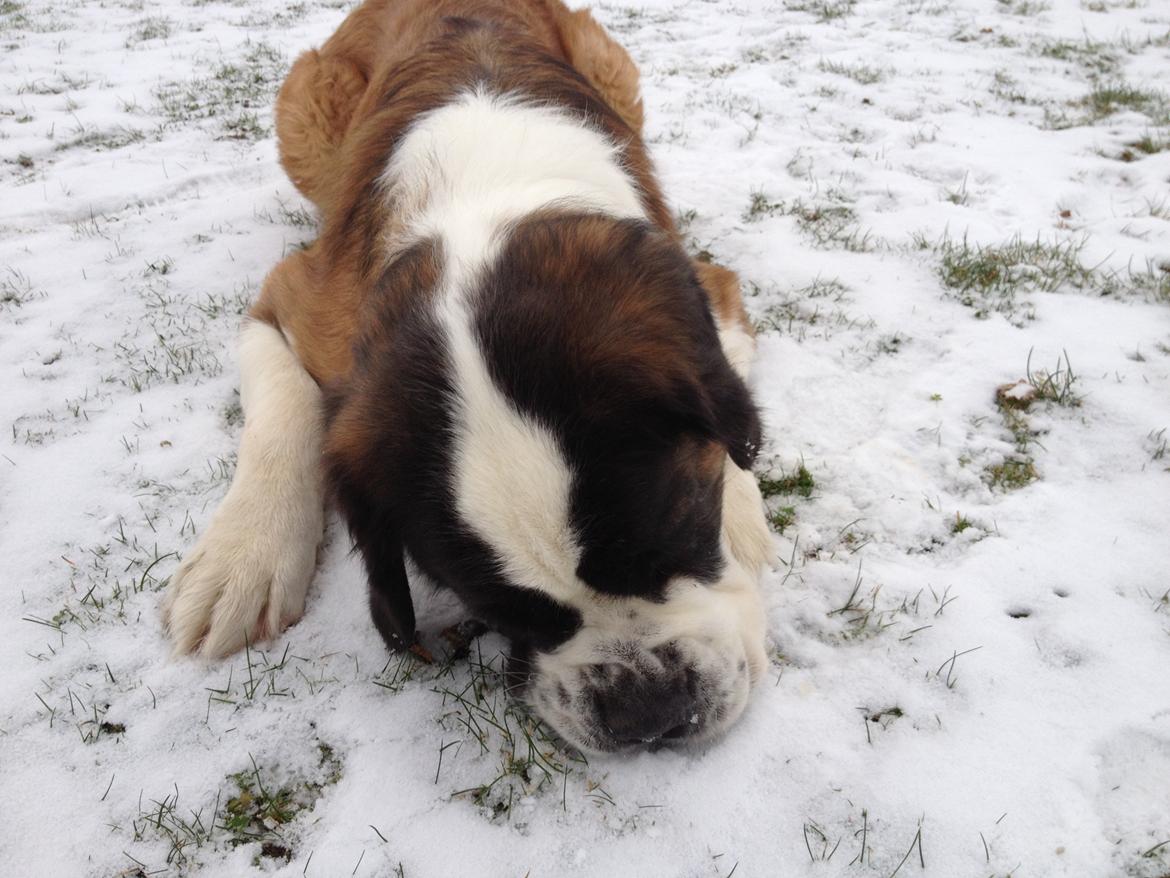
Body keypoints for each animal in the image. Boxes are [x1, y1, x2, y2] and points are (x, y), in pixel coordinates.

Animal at [160, 0, 772, 758]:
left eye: (680, 539)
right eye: (503, 611)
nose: (647, 712)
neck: (484, 206)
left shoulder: (709, 280)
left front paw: (743, 516)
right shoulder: (293, 299)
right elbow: (284, 402)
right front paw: (242, 556)